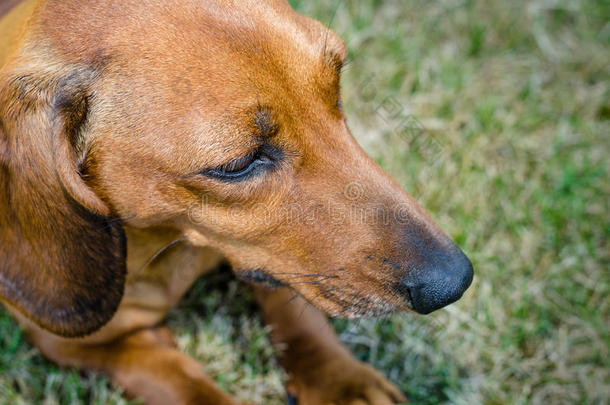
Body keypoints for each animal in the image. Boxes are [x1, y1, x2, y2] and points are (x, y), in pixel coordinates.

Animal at [0, 1, 472, 402]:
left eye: (336, 87)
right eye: (238, 164)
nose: (454, 281)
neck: (175, 245)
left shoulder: (271, 261)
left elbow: (298, 311)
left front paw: (341, 381)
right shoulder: (82, 343)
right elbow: (177, 378)